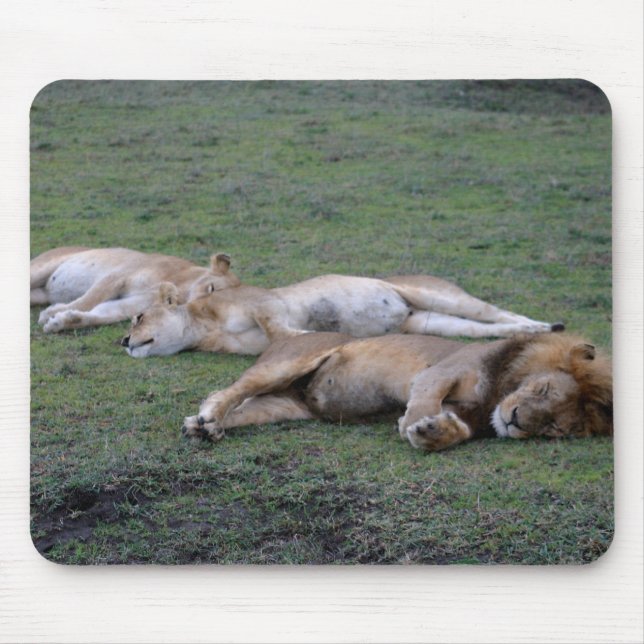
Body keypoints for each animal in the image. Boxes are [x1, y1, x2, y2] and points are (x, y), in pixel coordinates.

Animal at [31, 246, 240, 332]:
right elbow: (89, 300)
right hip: (40, 269)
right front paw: (51, 313)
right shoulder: (119, 276)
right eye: (211, 288)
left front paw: (60, 322)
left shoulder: (133, 304)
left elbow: (101, 314)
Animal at [181, 331, 612, 451]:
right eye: (541, 388)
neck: (496, 395)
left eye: (555, 429)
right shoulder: (446, 368)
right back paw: (209, 417)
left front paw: (434, 433)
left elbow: (459, 429)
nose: (517, 421)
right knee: (226, 390)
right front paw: (412, 422)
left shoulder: (473, 414)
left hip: (285, 406)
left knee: (245, 408)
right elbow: (425, 396)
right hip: (290, 362)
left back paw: (206, 426)